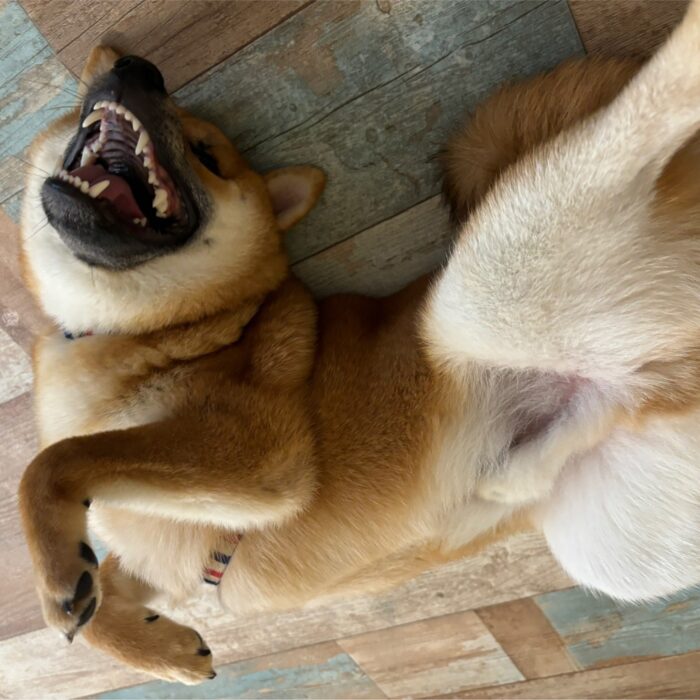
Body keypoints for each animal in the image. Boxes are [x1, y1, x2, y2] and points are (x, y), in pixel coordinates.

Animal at [15, 2, 700, 688]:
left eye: (207, 153)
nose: (141, 70)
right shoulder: (168, 556)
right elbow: (101, 589)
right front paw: (162, 648)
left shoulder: (257, 455)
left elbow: (52, 465)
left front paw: (56, 575)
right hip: (614, 540)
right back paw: (517, 472)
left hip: (480, 287)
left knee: (644, 117)